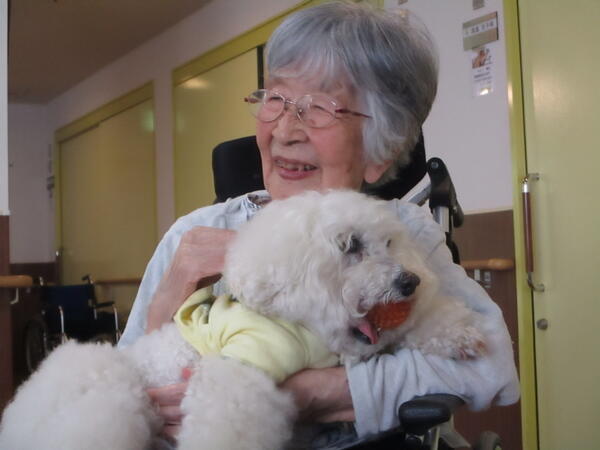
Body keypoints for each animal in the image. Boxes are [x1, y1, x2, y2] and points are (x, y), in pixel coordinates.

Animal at [0, 190, 488, 450]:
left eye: (390, 242)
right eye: (350, 245)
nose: (410, 281)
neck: (309, 329)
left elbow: (422, 323)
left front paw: (461, 333)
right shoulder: (242, 370)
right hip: (110, 399)